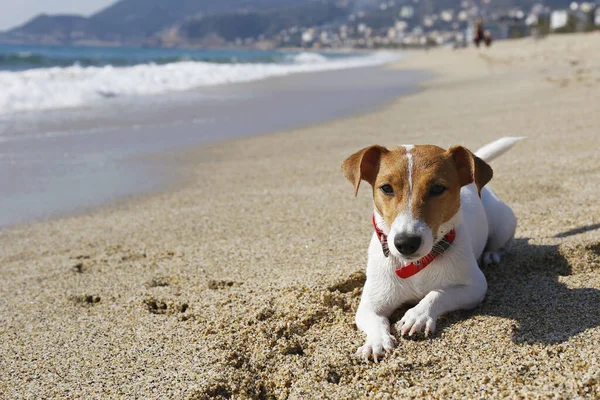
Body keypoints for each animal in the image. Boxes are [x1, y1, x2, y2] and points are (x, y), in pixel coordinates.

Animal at [342, 136, 524, 360]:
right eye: (386, 188)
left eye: (437, 188)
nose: (406, 243)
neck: (417, 264)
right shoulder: (370, 303)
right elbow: (375, 320)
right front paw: (376, 342)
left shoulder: (474, 286)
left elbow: (439, 293)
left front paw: (418, 315)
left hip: (504, 222)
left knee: (502, 243)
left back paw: (491, 254)